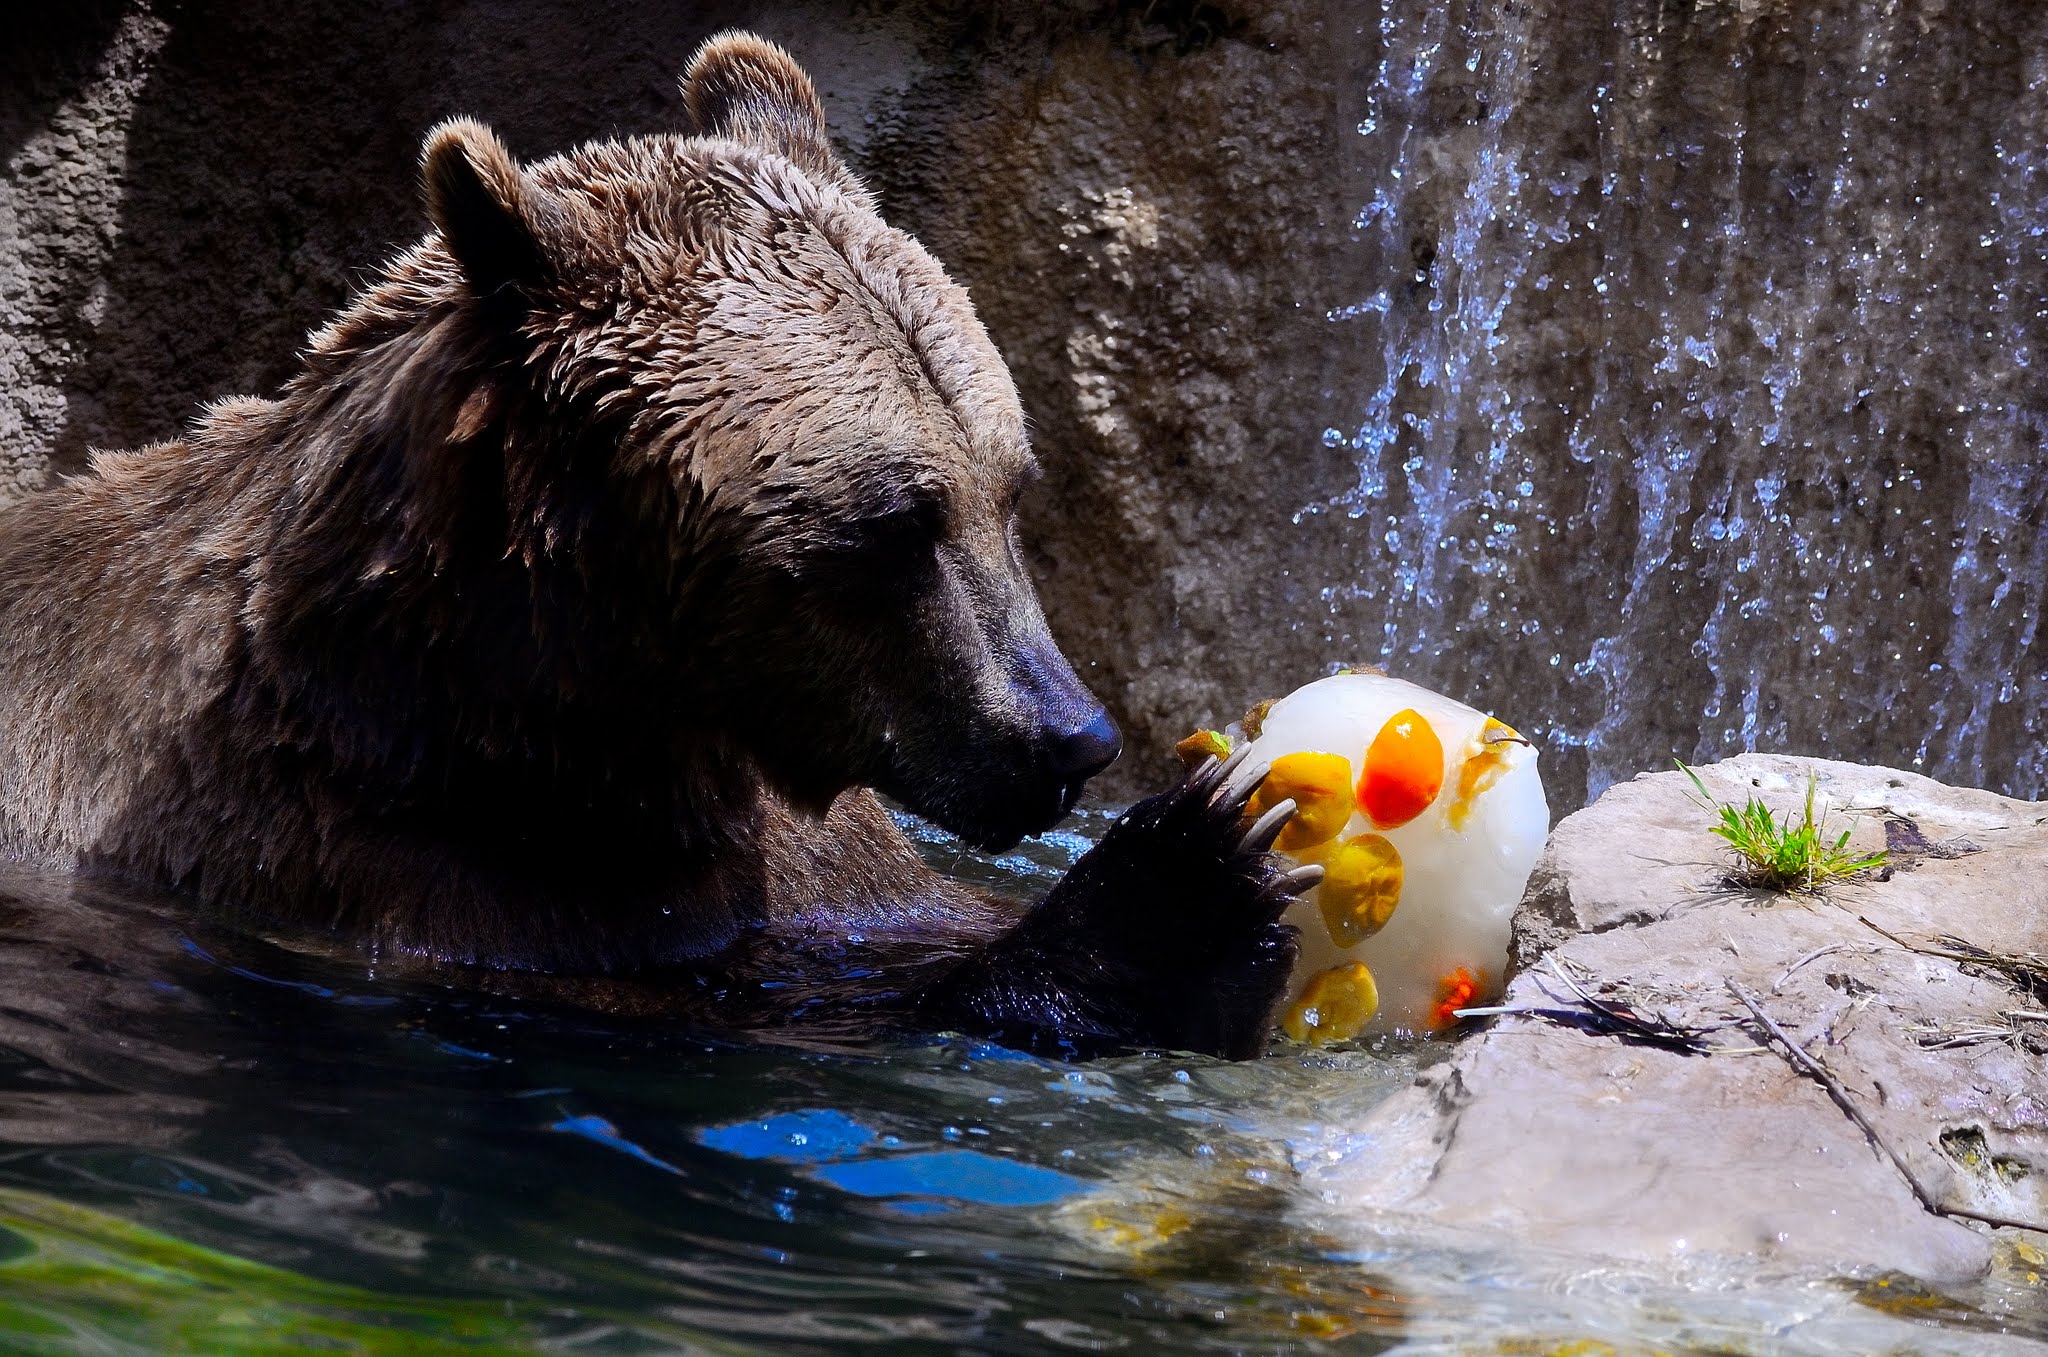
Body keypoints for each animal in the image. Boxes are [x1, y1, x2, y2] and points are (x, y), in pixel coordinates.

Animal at [0, 29, 1310, 1047]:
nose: (1065, 737)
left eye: (1012, 490)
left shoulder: (796, 851)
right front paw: (1188, 878)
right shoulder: (378, 867)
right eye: (896, 523)